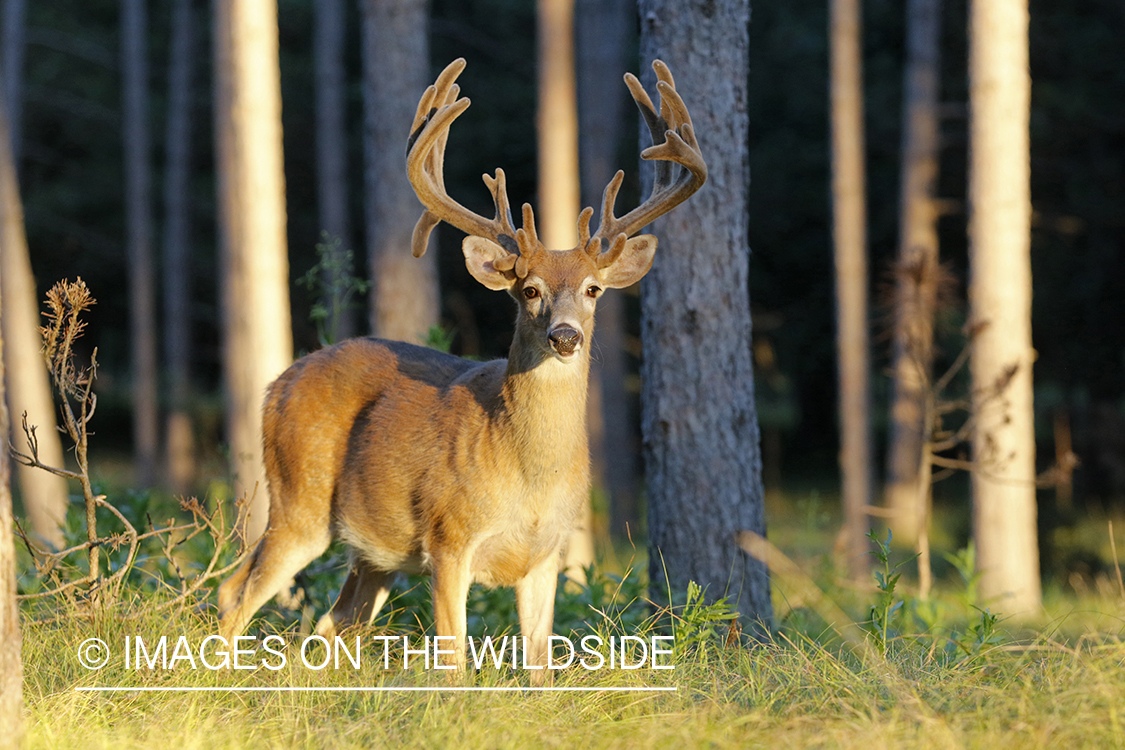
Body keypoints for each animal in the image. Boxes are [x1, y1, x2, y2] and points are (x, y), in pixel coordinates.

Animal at [216, 58, 706, 679]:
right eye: (529, 289)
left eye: (593, 289)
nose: (565, 336)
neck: (528, 474)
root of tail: (274, 385)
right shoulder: (449, 537)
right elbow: (453, 666)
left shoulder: (548, 554)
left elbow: (540, 670)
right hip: (299, 500)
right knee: (237, 597)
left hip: (374, 553)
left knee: (327, 622)